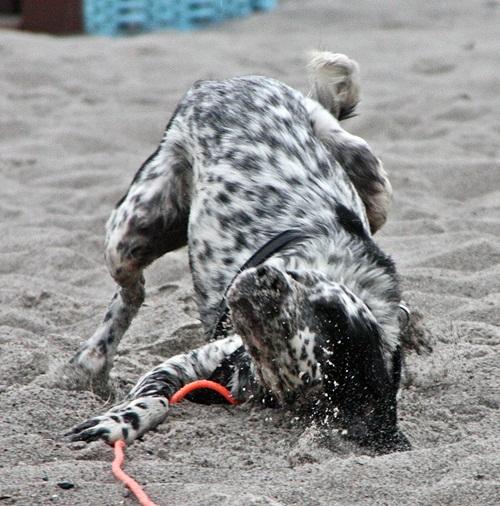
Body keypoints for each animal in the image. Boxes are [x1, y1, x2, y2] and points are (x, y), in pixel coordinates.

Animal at [65, 52, 410, 454]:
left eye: (281, 332)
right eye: (326, 307)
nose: (263, 276)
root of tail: (223, 86)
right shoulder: (186, 362)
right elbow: (156, 400)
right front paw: (119, 421)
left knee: (134, 292)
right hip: (129, 234)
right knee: (130, 292)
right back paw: (92, 360)